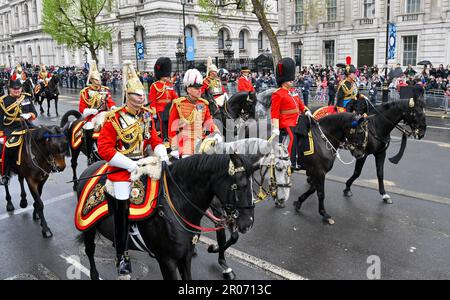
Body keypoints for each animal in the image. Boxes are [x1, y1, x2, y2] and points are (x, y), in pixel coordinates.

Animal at [78, 154, 256, 280]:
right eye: (241, 185)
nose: (248, 224)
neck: (176, 204)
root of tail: (89, 169)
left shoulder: (185, 256)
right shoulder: (167, 261)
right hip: (88, 228)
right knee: (90, 251)